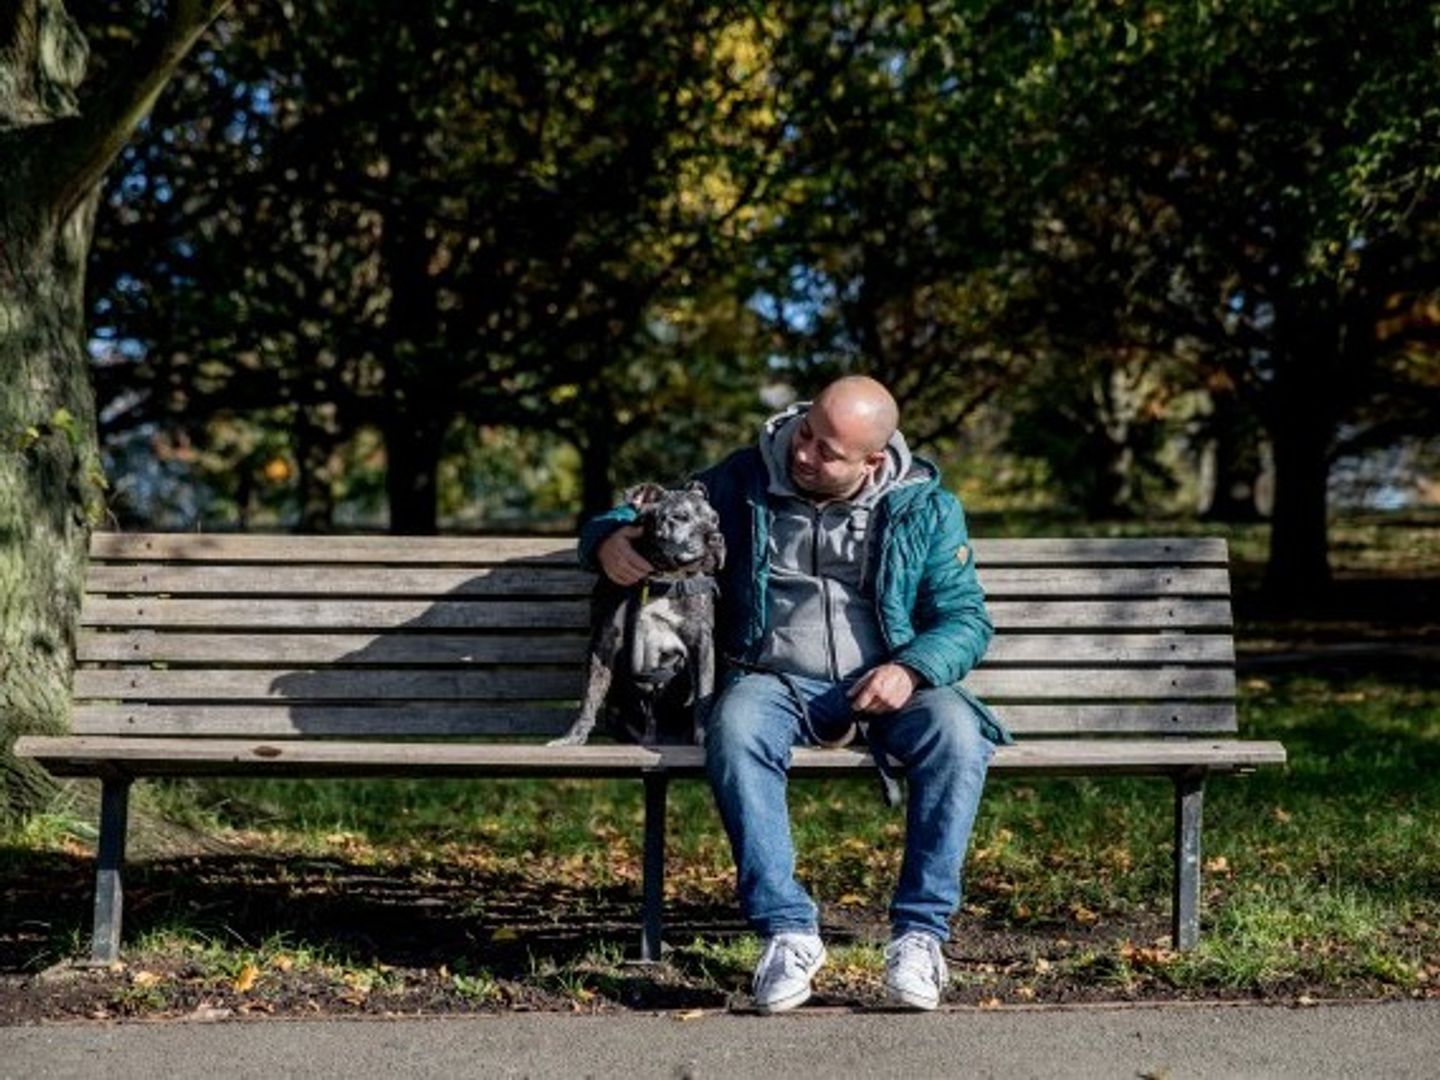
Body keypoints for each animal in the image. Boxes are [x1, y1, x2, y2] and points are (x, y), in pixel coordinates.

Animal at [552, 486, 731, 748]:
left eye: (715, 519)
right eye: (680, 517)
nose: (716, 538)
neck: (660, 579)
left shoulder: (701, 641)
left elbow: (703, 694)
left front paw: (702, 737)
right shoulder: (603, 639)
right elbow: (591, 692)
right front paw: (573, 737)